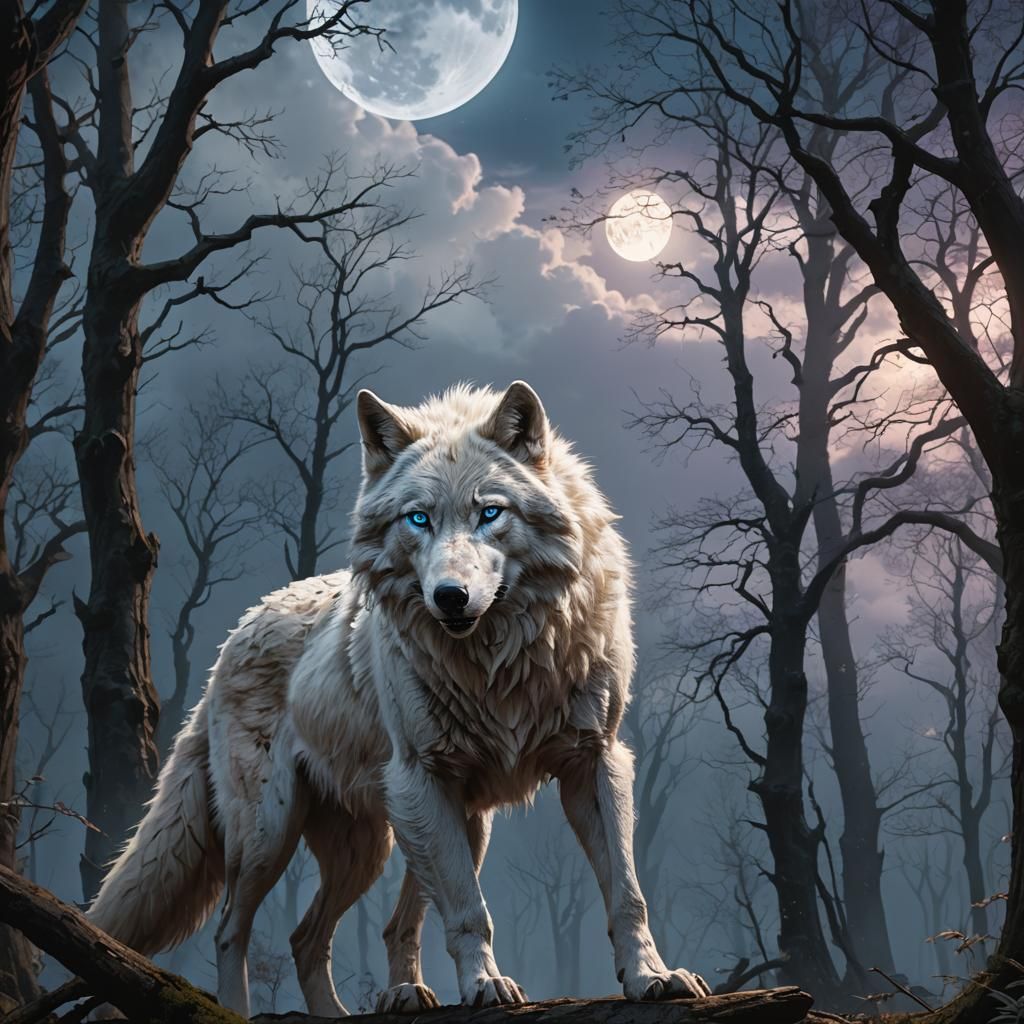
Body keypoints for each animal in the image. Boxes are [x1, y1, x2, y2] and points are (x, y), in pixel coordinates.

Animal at [88, 381, 710, 1017]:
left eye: (490, 513)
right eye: (419, 519)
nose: (450, 596)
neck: (501, 661)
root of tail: (231, 639)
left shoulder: (594, 761)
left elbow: (627, 894)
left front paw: (651, 977)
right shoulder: (423, 776)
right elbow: (469, 911)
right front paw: (485, 985)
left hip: (396, 840)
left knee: (321, 934)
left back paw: (384, 1000)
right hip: (273, 833)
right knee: (232, 926)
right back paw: (237, 1011)